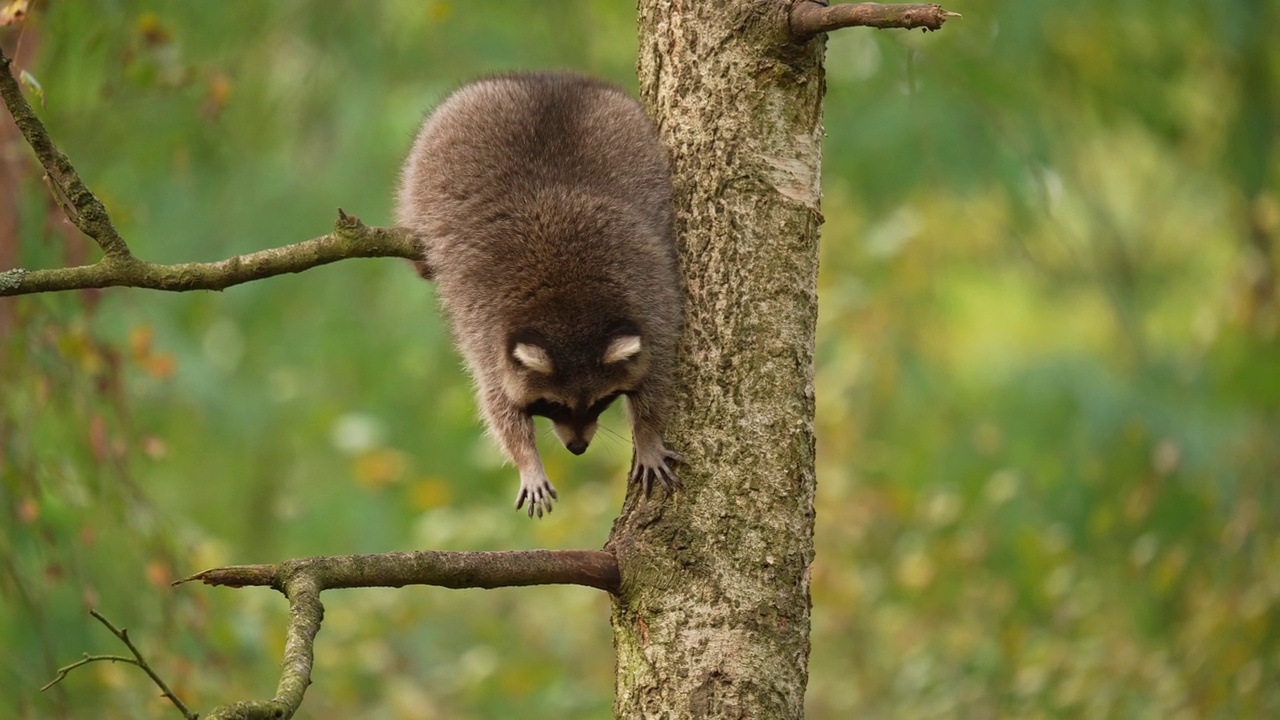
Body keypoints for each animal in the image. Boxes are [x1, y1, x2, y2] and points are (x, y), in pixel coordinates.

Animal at [396, 71, 680, 515]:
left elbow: (657, 372)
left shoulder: (651, 296)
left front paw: (647, 434)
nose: (578, 448)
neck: (572, 307)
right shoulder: (486, 324)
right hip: (424, 164)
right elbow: (496, 401)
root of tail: (544, 78)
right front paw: (526, 458)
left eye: (600, 402)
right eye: (553, 405)